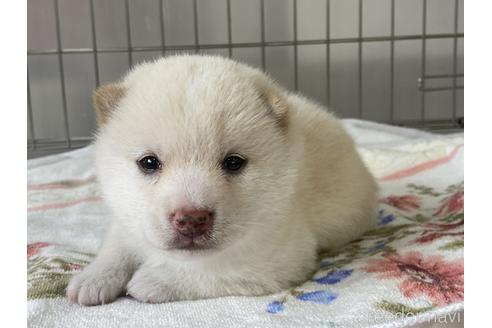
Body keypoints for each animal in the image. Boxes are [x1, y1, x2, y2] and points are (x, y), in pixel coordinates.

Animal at [66, 55, 376, 304]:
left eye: (233, 162)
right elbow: (116, 247)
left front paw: (153, 279)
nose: (192, 218)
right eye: (149, 163)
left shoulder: (278, 257)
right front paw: (92, 279)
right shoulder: (129, 220)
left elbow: (210, 270)